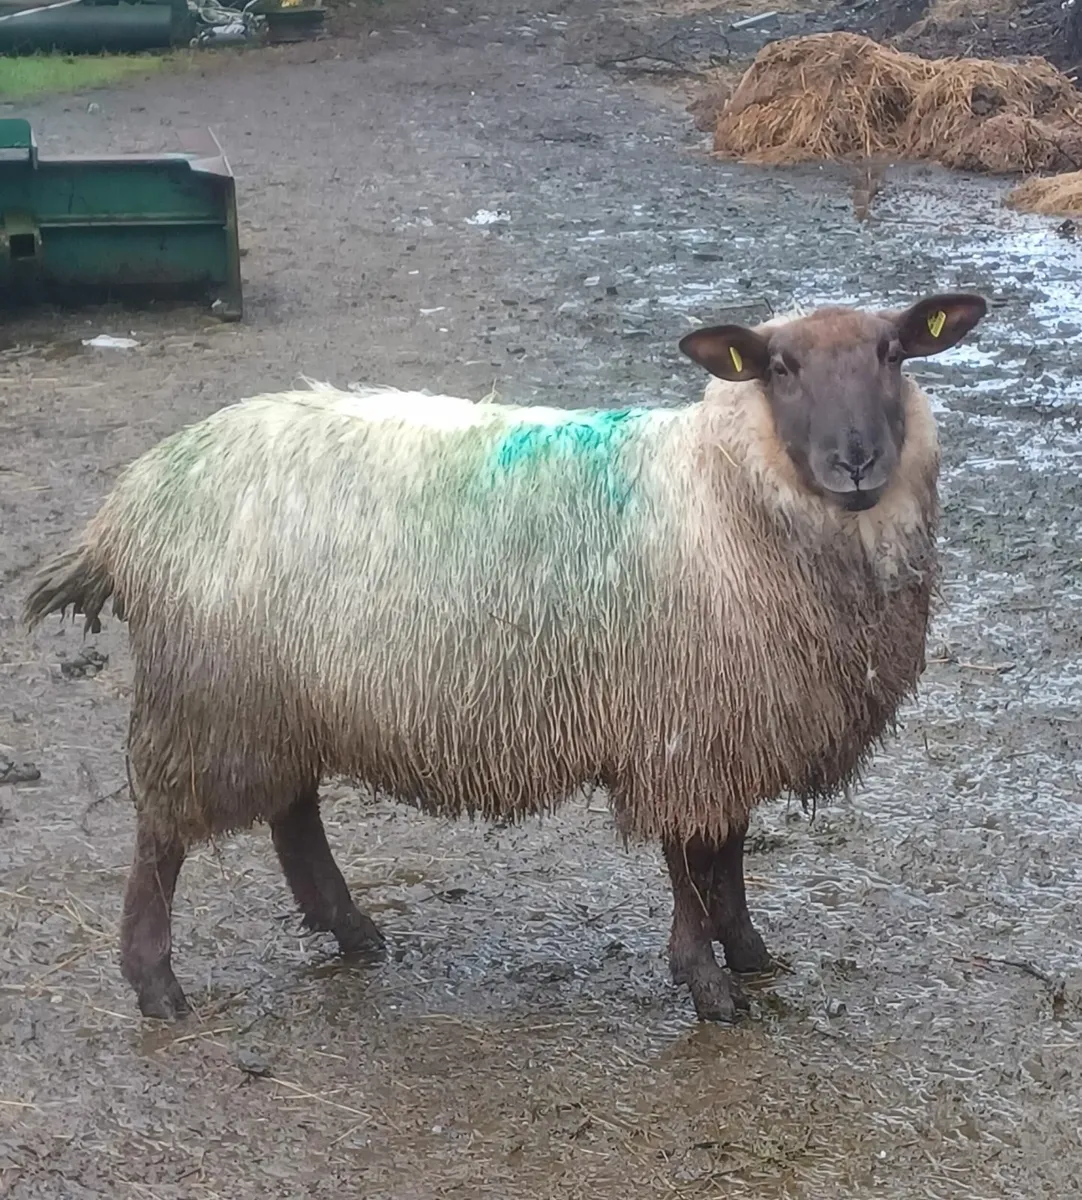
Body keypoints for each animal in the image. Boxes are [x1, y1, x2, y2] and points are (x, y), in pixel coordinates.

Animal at [23, 292, 988, 1024]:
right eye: (779, 368)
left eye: (893, 354)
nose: (856, 462)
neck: (723, 495)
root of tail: (132, 504)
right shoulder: (678, 728)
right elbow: (689, 863)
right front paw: (707, 983)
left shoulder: (726, 726)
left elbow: (730, 853)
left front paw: (747, 949)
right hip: (210, 694)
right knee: (162, 836)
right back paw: (156, 983)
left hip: (282, 696)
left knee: (292, 815)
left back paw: (351, 931)